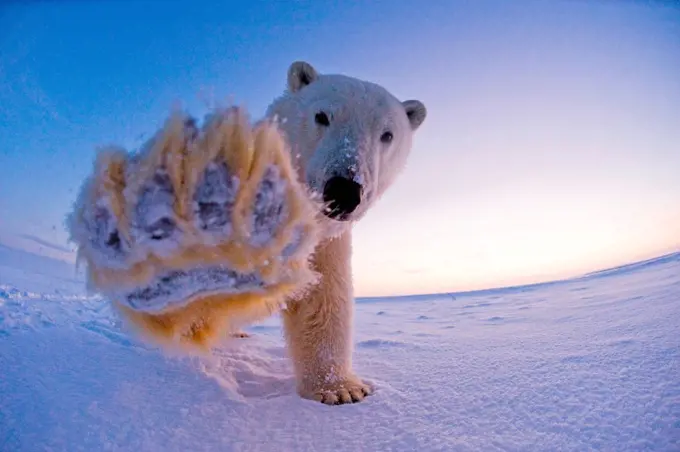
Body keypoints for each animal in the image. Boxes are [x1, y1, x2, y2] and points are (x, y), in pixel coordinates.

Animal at [264, 61, 428, 404]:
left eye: (387, 134)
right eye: (321, 116)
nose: (343, 190)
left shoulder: (323, 244)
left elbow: (322, 298)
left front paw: (342, 389)